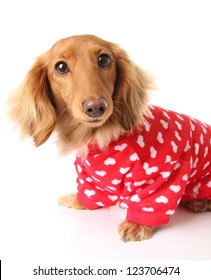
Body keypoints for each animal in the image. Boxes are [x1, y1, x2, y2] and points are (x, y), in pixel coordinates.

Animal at [8, 34, 211, 241]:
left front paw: (137, 224)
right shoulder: (92, 178)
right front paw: (78, 200)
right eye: (61, 67)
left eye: (104, 60)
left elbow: (149, 202)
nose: (96, 107)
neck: (98, 137)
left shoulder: (164, 172)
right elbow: (92, 191)